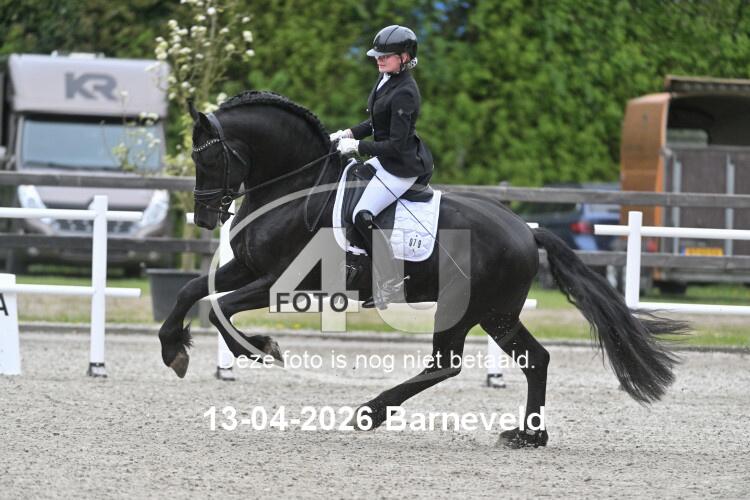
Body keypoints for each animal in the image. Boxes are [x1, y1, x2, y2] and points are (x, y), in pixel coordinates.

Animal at [158, 91, 687, 447]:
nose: (203, 217)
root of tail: (526, 229)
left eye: (211, 158)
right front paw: (173, 350)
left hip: (472, 309)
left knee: (447, 362)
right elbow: (190, 293)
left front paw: (260, 349)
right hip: (497, 314)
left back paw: (371, 412)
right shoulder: (248, 267)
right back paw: (527, 435)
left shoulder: (280, 281)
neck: (296, 186)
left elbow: (218, 310)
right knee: (532, 359)